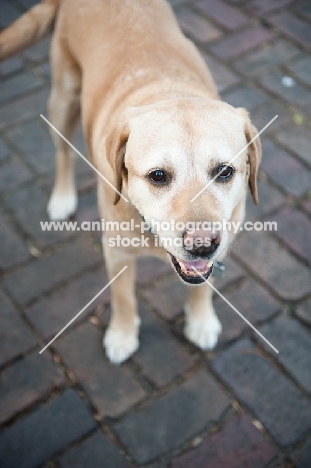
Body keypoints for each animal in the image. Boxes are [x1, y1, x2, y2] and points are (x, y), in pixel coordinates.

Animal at [1, 0, 262, 362]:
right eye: (158, 176)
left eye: (224, 172)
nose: (202, 244)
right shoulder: (117, 253)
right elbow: (124, 299)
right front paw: (122, 336)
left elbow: (203, 287)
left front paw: (201, 321)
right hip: (63, 99)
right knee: (63, 152)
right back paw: (63, 198)